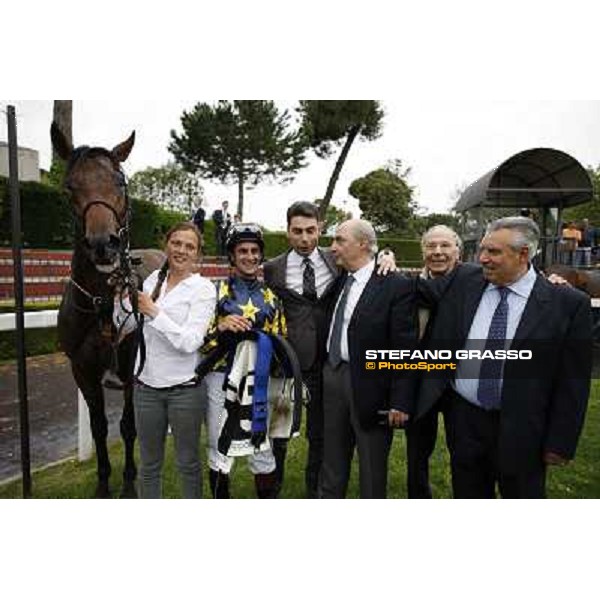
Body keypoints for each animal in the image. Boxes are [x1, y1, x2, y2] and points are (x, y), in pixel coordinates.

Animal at [51, 122, 162, 496]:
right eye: (69, 186)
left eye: (120, 182)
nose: (103, 245)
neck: (102, 301)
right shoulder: (82, 370)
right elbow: (99, 426)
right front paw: (103, 482)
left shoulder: (130, 367)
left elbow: (128, 425)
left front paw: (128, 483)